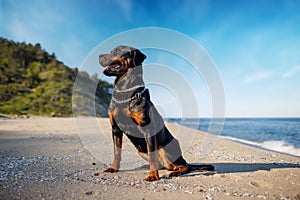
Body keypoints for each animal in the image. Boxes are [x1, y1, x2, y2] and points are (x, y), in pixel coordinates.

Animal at [98, 45, 213, 181]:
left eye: (116, 51)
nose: (99, 56)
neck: (125, 93)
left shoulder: (147, 128)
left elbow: (152, 155)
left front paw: (153, 176)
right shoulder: (115, 128)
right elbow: (117, 151)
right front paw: (113, 168)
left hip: (165, 148)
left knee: (184, 166)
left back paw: (173, 172)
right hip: (141, 151)